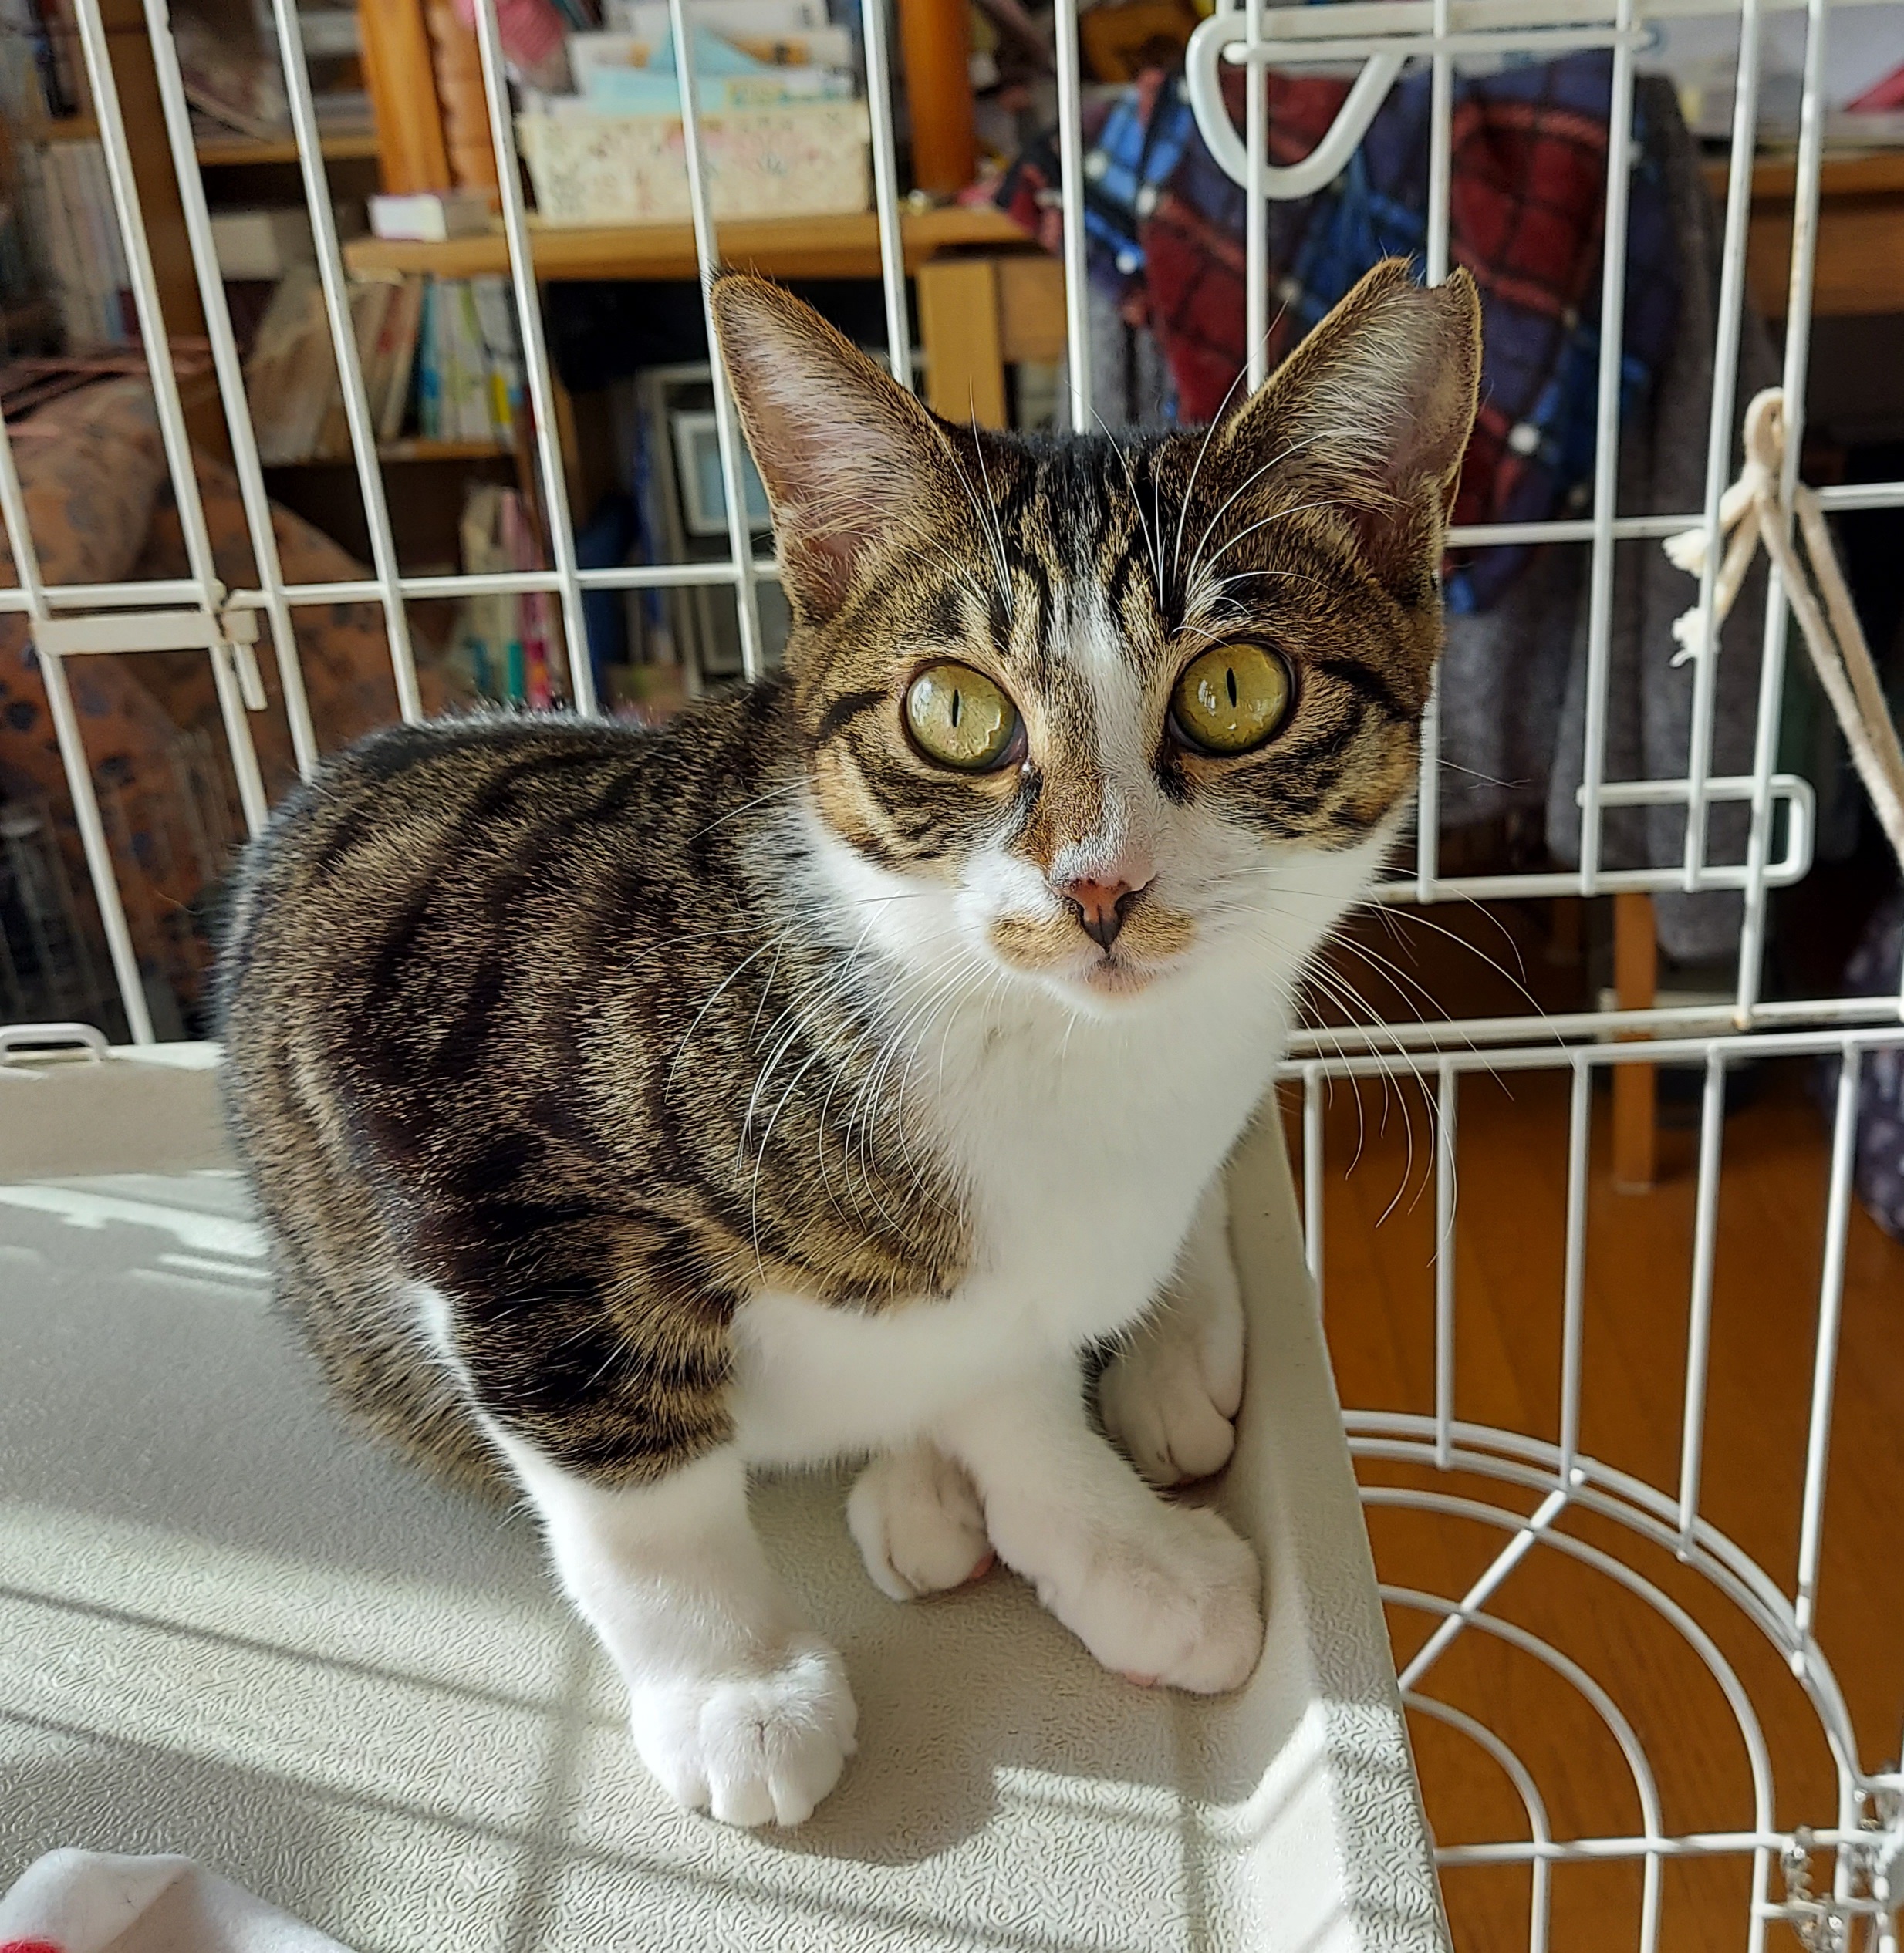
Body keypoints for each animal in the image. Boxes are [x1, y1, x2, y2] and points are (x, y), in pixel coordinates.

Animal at [217, 258, 1480, 1829]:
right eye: (956, 711)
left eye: (1236, 689)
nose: (1100, 887)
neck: (1055, 1058)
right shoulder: (469, 1148)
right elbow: (635, 1493)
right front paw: (737, 1688)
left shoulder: (1019, 1268)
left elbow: (1009, 1383)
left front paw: (1119, 1551)